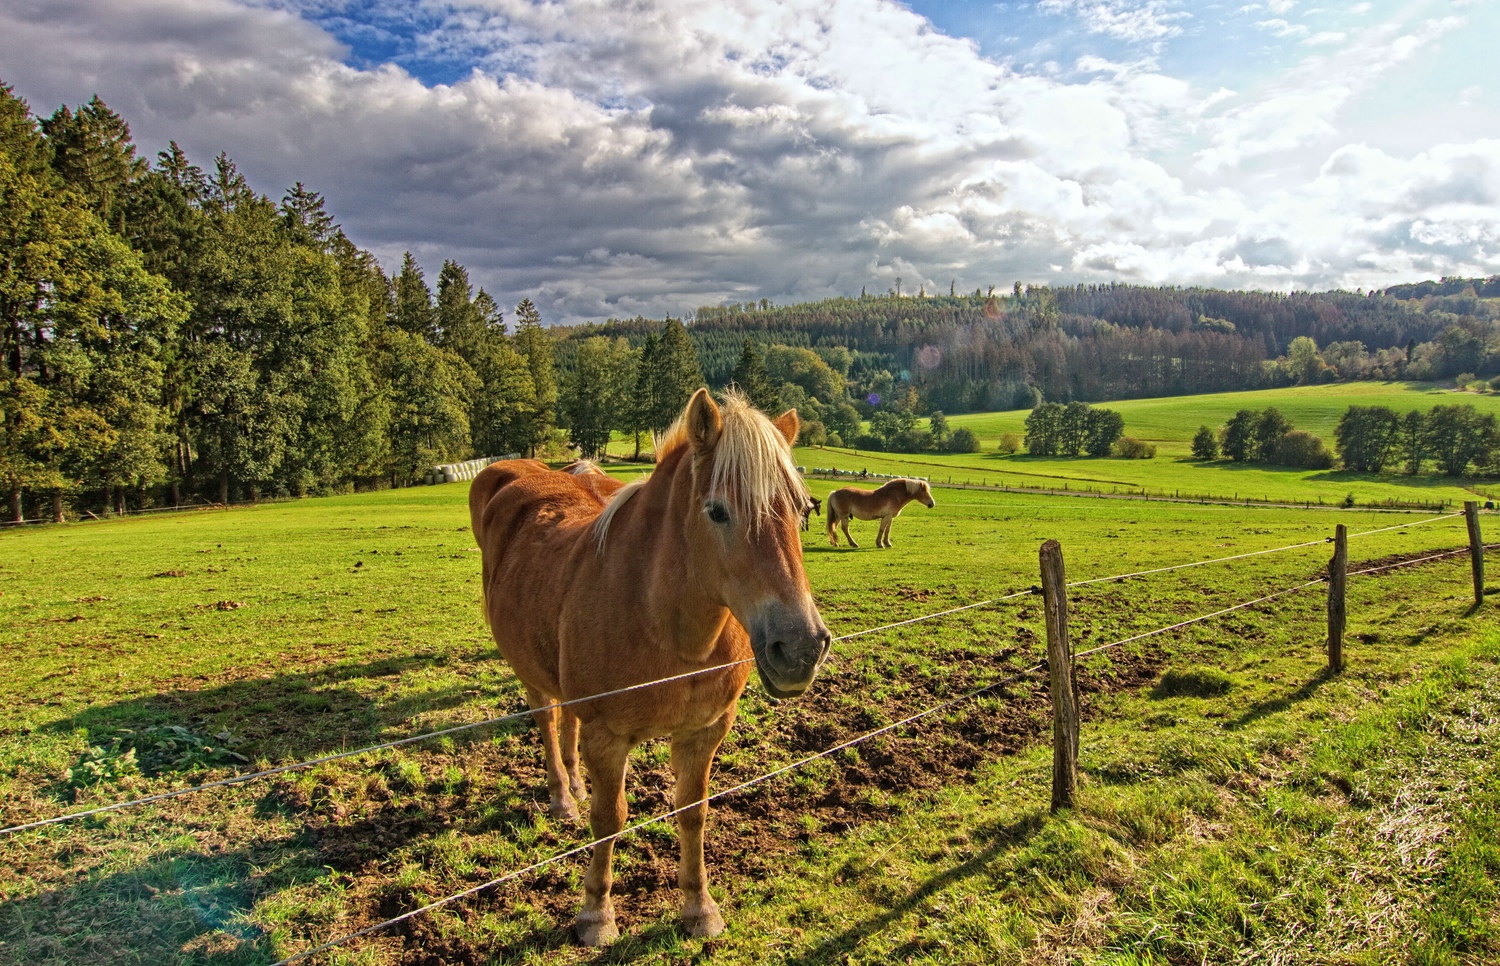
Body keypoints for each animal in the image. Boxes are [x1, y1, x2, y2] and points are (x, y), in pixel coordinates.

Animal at [471, 387, 834, 942]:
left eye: (801, 510)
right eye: (717, 512)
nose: (800, 648)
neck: (665, 627)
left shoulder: (704, 732)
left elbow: (693, 812)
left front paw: (699, 907)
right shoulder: (608, 737)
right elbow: (609, 820)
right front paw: (596, 915)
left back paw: (575, 783)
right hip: (529, 670)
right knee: (549, 720)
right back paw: (562, 797)